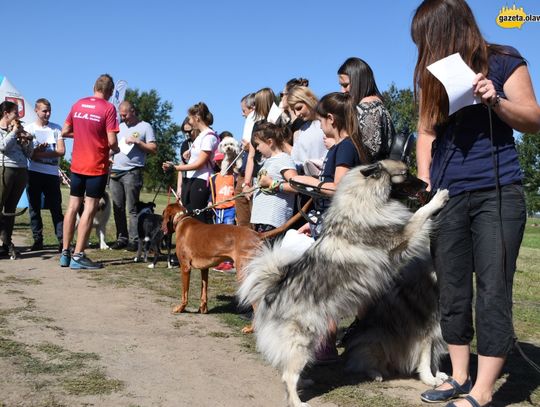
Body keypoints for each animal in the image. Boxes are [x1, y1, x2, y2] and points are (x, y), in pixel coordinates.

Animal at [238, 160, 450, 407]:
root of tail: (272, 292)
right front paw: (438, 200)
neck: (363, 199)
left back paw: (304, 382)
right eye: (405, 174)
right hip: (302, 342)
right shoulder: (402, 237)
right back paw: (298, 401)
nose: (426, 184)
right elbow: (419, 215)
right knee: (288, 375)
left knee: (286, 369)